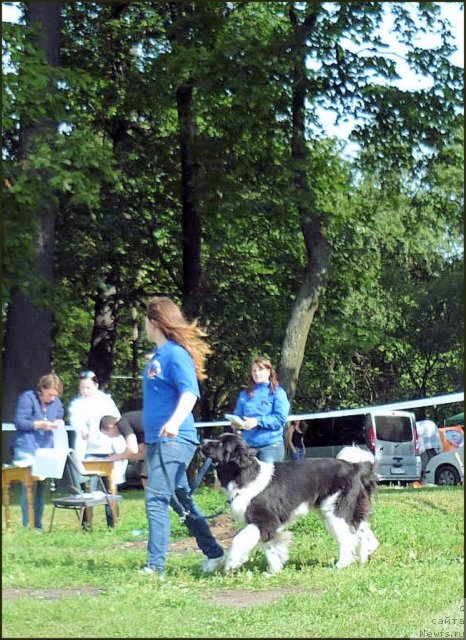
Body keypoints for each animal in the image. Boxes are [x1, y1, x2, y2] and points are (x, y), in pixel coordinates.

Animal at [200, 436, 378, 576]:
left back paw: (342, 564)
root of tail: (355, 467)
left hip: (334, 511)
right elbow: (270, 546)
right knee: (363, 532)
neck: (245, 476)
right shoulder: (269, 524)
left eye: (221, 444)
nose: (201, 442)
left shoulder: (265, 520)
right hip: (346, 510)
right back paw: (365, 556)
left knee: (347, 537)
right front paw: (274, 570)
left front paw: (232, 563)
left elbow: (240, 539)